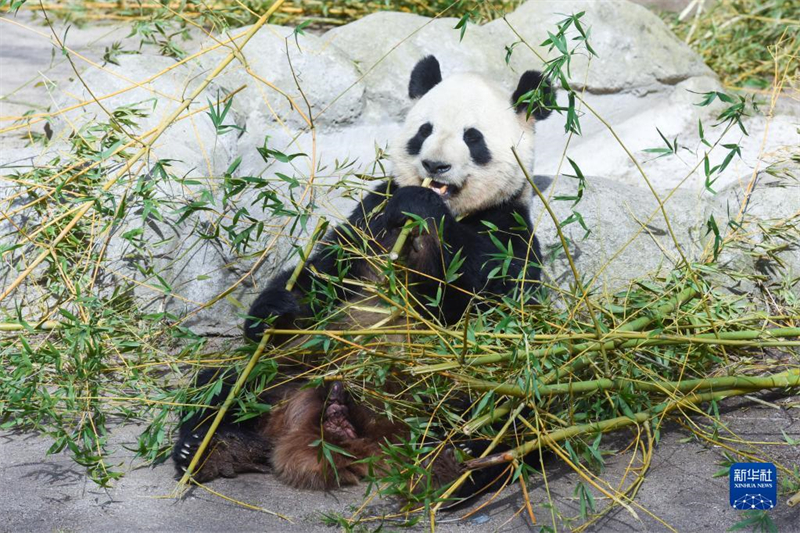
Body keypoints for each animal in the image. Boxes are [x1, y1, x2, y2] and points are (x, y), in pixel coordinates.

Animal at [172, 56, 552, 492]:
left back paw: (465, 465)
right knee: (225, 385)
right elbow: (326, 269)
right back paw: (210, 447)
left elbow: (493, 295)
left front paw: (423, 208)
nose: (434, 165)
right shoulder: (371, 215)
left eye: (473, 137)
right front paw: (275, 308)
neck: (454, 210)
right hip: (292, 368)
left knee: (509, 413)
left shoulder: (507, 225)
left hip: (474, 392)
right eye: (424, 131)